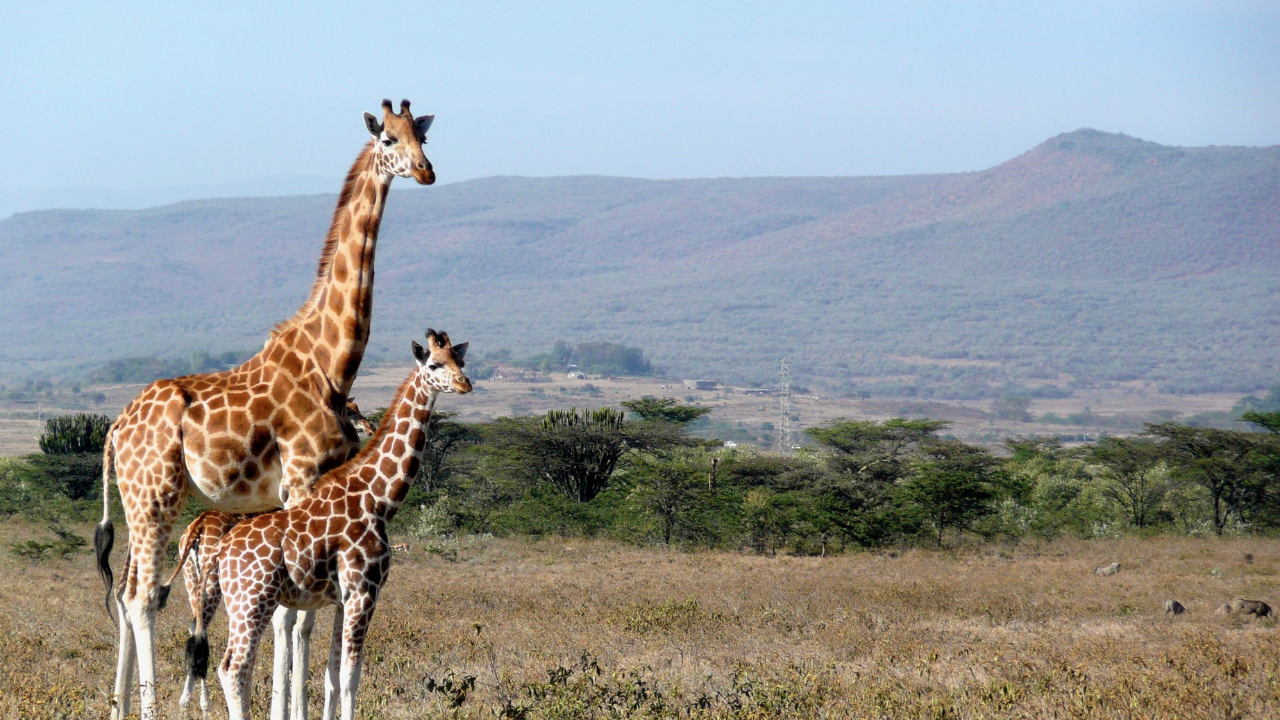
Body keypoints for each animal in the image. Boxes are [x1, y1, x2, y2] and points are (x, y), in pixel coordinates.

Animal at [170, 397, 373, 712]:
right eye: (350, 410)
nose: (369, 426)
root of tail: (198, 528)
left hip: (193, 581)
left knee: (194, 629)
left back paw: (188, 700)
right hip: (213, 585)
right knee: (201, 630)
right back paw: (202, 701)